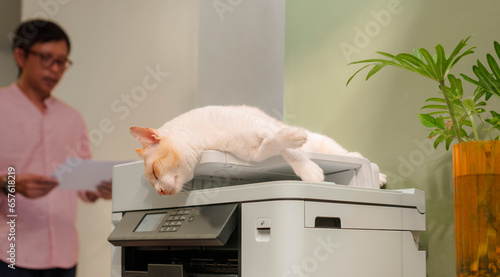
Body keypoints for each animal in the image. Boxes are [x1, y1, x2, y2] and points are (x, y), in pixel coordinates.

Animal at [130, 104, 386, 195]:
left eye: (155, 173)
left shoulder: (260, 127)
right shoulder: (255, 152)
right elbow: (274, 145)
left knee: (349, 155)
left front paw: (307, 167)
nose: (160, 192)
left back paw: (375, 172)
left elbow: (289, 149)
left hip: (325, 143)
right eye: (152, 182)